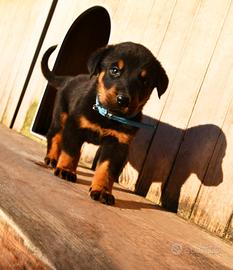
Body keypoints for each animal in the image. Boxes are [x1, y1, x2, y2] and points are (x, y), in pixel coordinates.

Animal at [41, 41, 168, 205]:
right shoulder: (74, 127)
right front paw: (66, 170)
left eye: (144, 81)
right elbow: (71, 152)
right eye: (114, 70)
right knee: (54, 135)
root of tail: (69, 79)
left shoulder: (118, 143)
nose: (123, 100)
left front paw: (102, 191)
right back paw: (52, 158)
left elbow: (106, 169)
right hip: (61, 116)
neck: (109, 115)